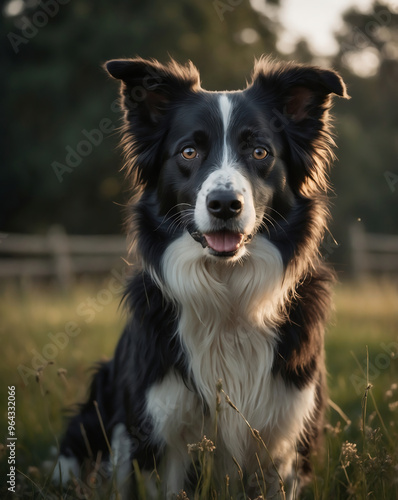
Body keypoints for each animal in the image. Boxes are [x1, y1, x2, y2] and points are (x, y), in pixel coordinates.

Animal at [57, 56, 346, 498]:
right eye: (189, 151)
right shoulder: (160, 436)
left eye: (260, 151)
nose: (225, 204)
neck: (227, 294)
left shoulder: (285, 436)